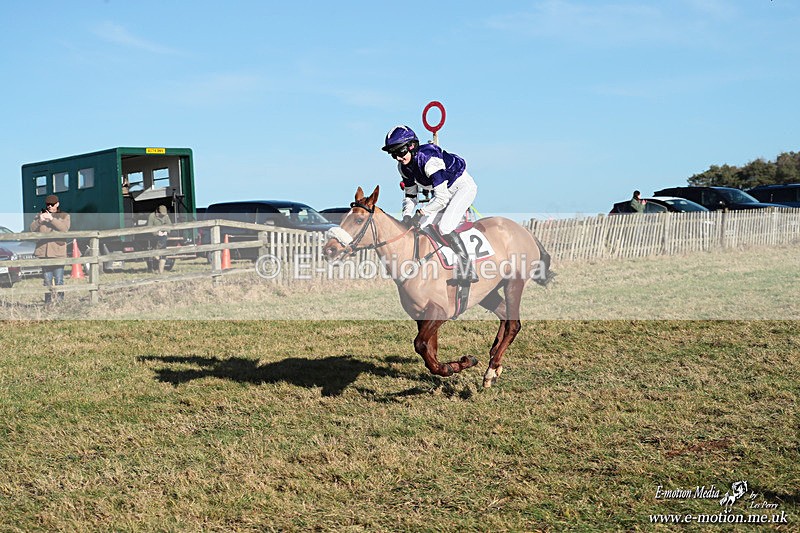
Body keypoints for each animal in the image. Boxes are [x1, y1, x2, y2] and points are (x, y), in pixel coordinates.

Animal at [322, 185, 553, 388]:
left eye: (358, 219)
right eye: (343, 218)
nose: (329, 250)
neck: (411, 258)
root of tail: (523, 230)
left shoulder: (440, 311)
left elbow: (421, 345)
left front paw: (457, 365)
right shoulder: (421, 315)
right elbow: (429, 352)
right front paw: (458, 364)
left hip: (514, 283)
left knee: (514, 324)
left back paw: (491, 369)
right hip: (487, 293)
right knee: (505, 317)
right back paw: (494, 363)